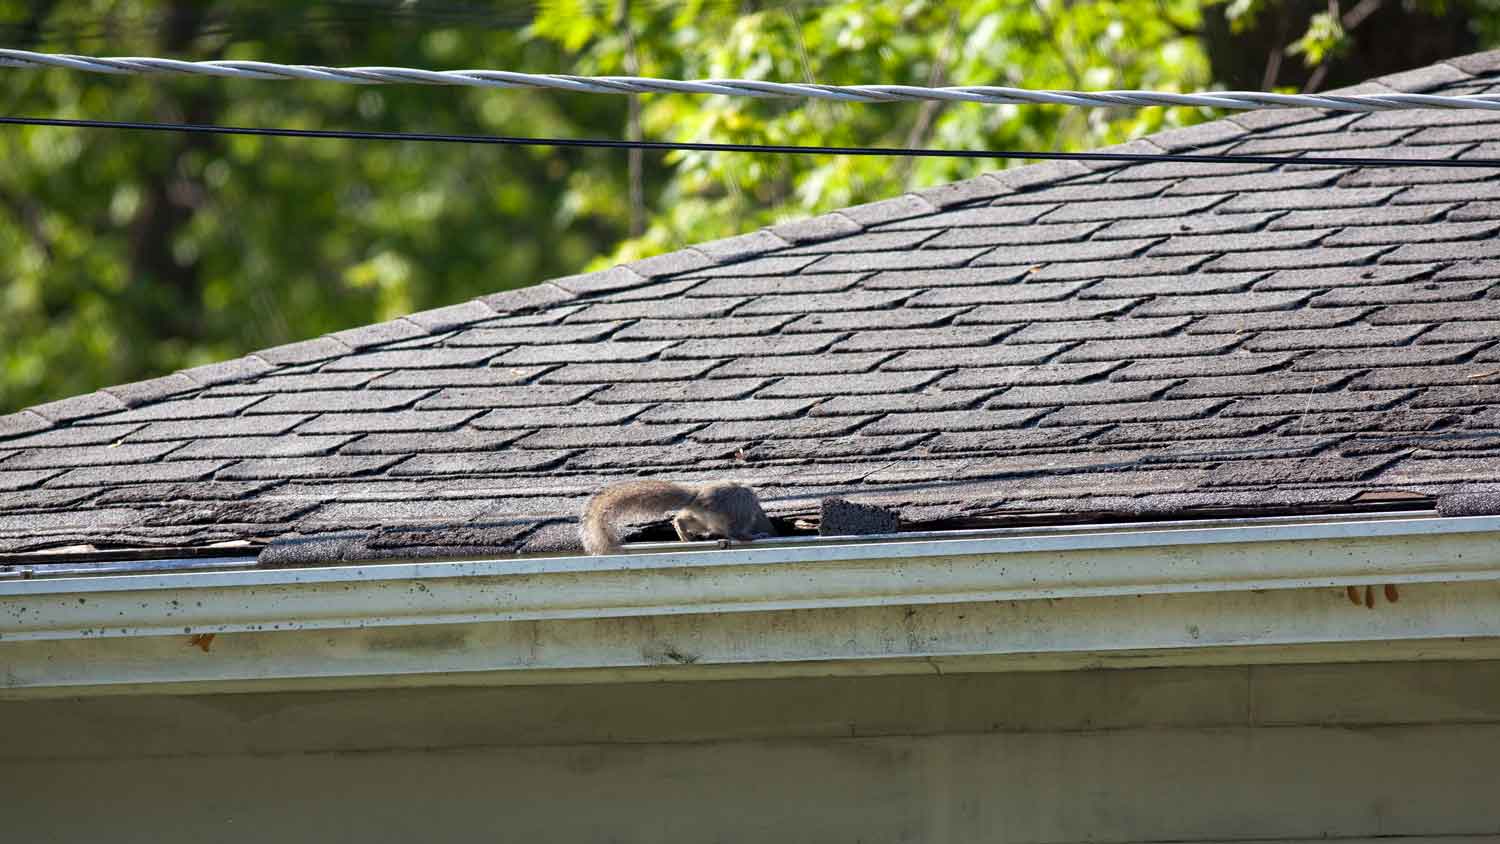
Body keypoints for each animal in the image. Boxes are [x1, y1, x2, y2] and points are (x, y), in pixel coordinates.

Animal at [580, 479, 776, 555]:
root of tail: (698, 497)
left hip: (703, 522)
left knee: (680, 520)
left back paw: (685, 536)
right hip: (740, 510)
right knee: (736, 533)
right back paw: (755, 536)